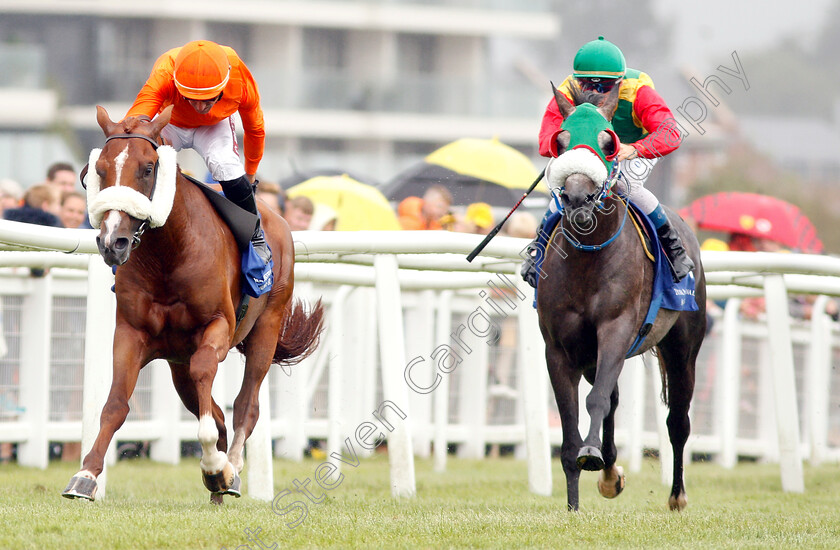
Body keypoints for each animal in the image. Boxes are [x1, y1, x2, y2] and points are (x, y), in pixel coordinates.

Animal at [62, 105, 324, 506]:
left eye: (148, 168)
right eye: (99, 170)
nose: (113, 242)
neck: (168, 255)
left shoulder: (217, 326)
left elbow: (209, 386)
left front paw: (216, 465)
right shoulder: (131, 333)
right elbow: (115, 404)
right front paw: (85, 475)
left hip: (266, 328)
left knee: (246, 406)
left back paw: (230, 470)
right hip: (176, 364)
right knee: (214, 409)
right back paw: (218, 486)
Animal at [536, 85, 704, 512]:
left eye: (609, 142)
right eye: (561, 140)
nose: (578, 197)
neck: (587, 258)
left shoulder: (616, 327)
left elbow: (596, 401)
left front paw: (591, 455)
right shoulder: (559, 348)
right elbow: (571, 427)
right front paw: (573, 505)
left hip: (683, 348)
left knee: (678, 421)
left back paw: (677, 495)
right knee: (611, 398)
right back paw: (611, 473)